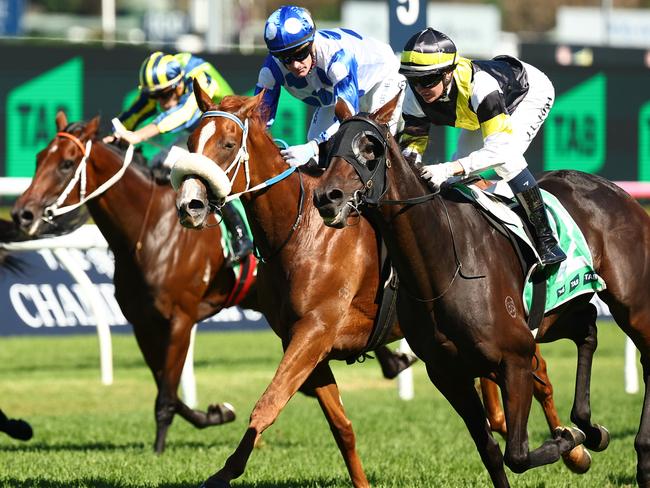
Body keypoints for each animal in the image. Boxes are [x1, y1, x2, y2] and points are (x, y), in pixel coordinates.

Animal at [10, 110, 410, 454]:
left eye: (65, 164)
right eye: (39, 157)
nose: (21, 213)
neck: (149, 230)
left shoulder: (180, 318)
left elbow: (167, 394)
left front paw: (162, 446)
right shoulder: (143, 323)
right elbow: (167, 388)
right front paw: (215, 413)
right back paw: (390, 362)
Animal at [170, 85, 584, 488]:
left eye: (227, 143)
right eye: (191, 141)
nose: (190, 205)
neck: (300, 233)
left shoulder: (314, 333)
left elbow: (268, 404)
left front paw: (222, 474)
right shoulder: (302, 341)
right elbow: (341, 426)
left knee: (539, 376)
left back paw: (574, 448)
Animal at [308, 97, 648, 486]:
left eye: (370, 148)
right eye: (329, 148)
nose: (327, 197)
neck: (442, 267)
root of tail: (614, 189)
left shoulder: (515, 359)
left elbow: (517, 453)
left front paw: (568, 441)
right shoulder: (448, 374)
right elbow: (491, 452)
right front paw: (577, 437)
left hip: (632, 306)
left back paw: (636, 454)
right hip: (554, 316)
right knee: (588, 326)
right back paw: (591, 428)